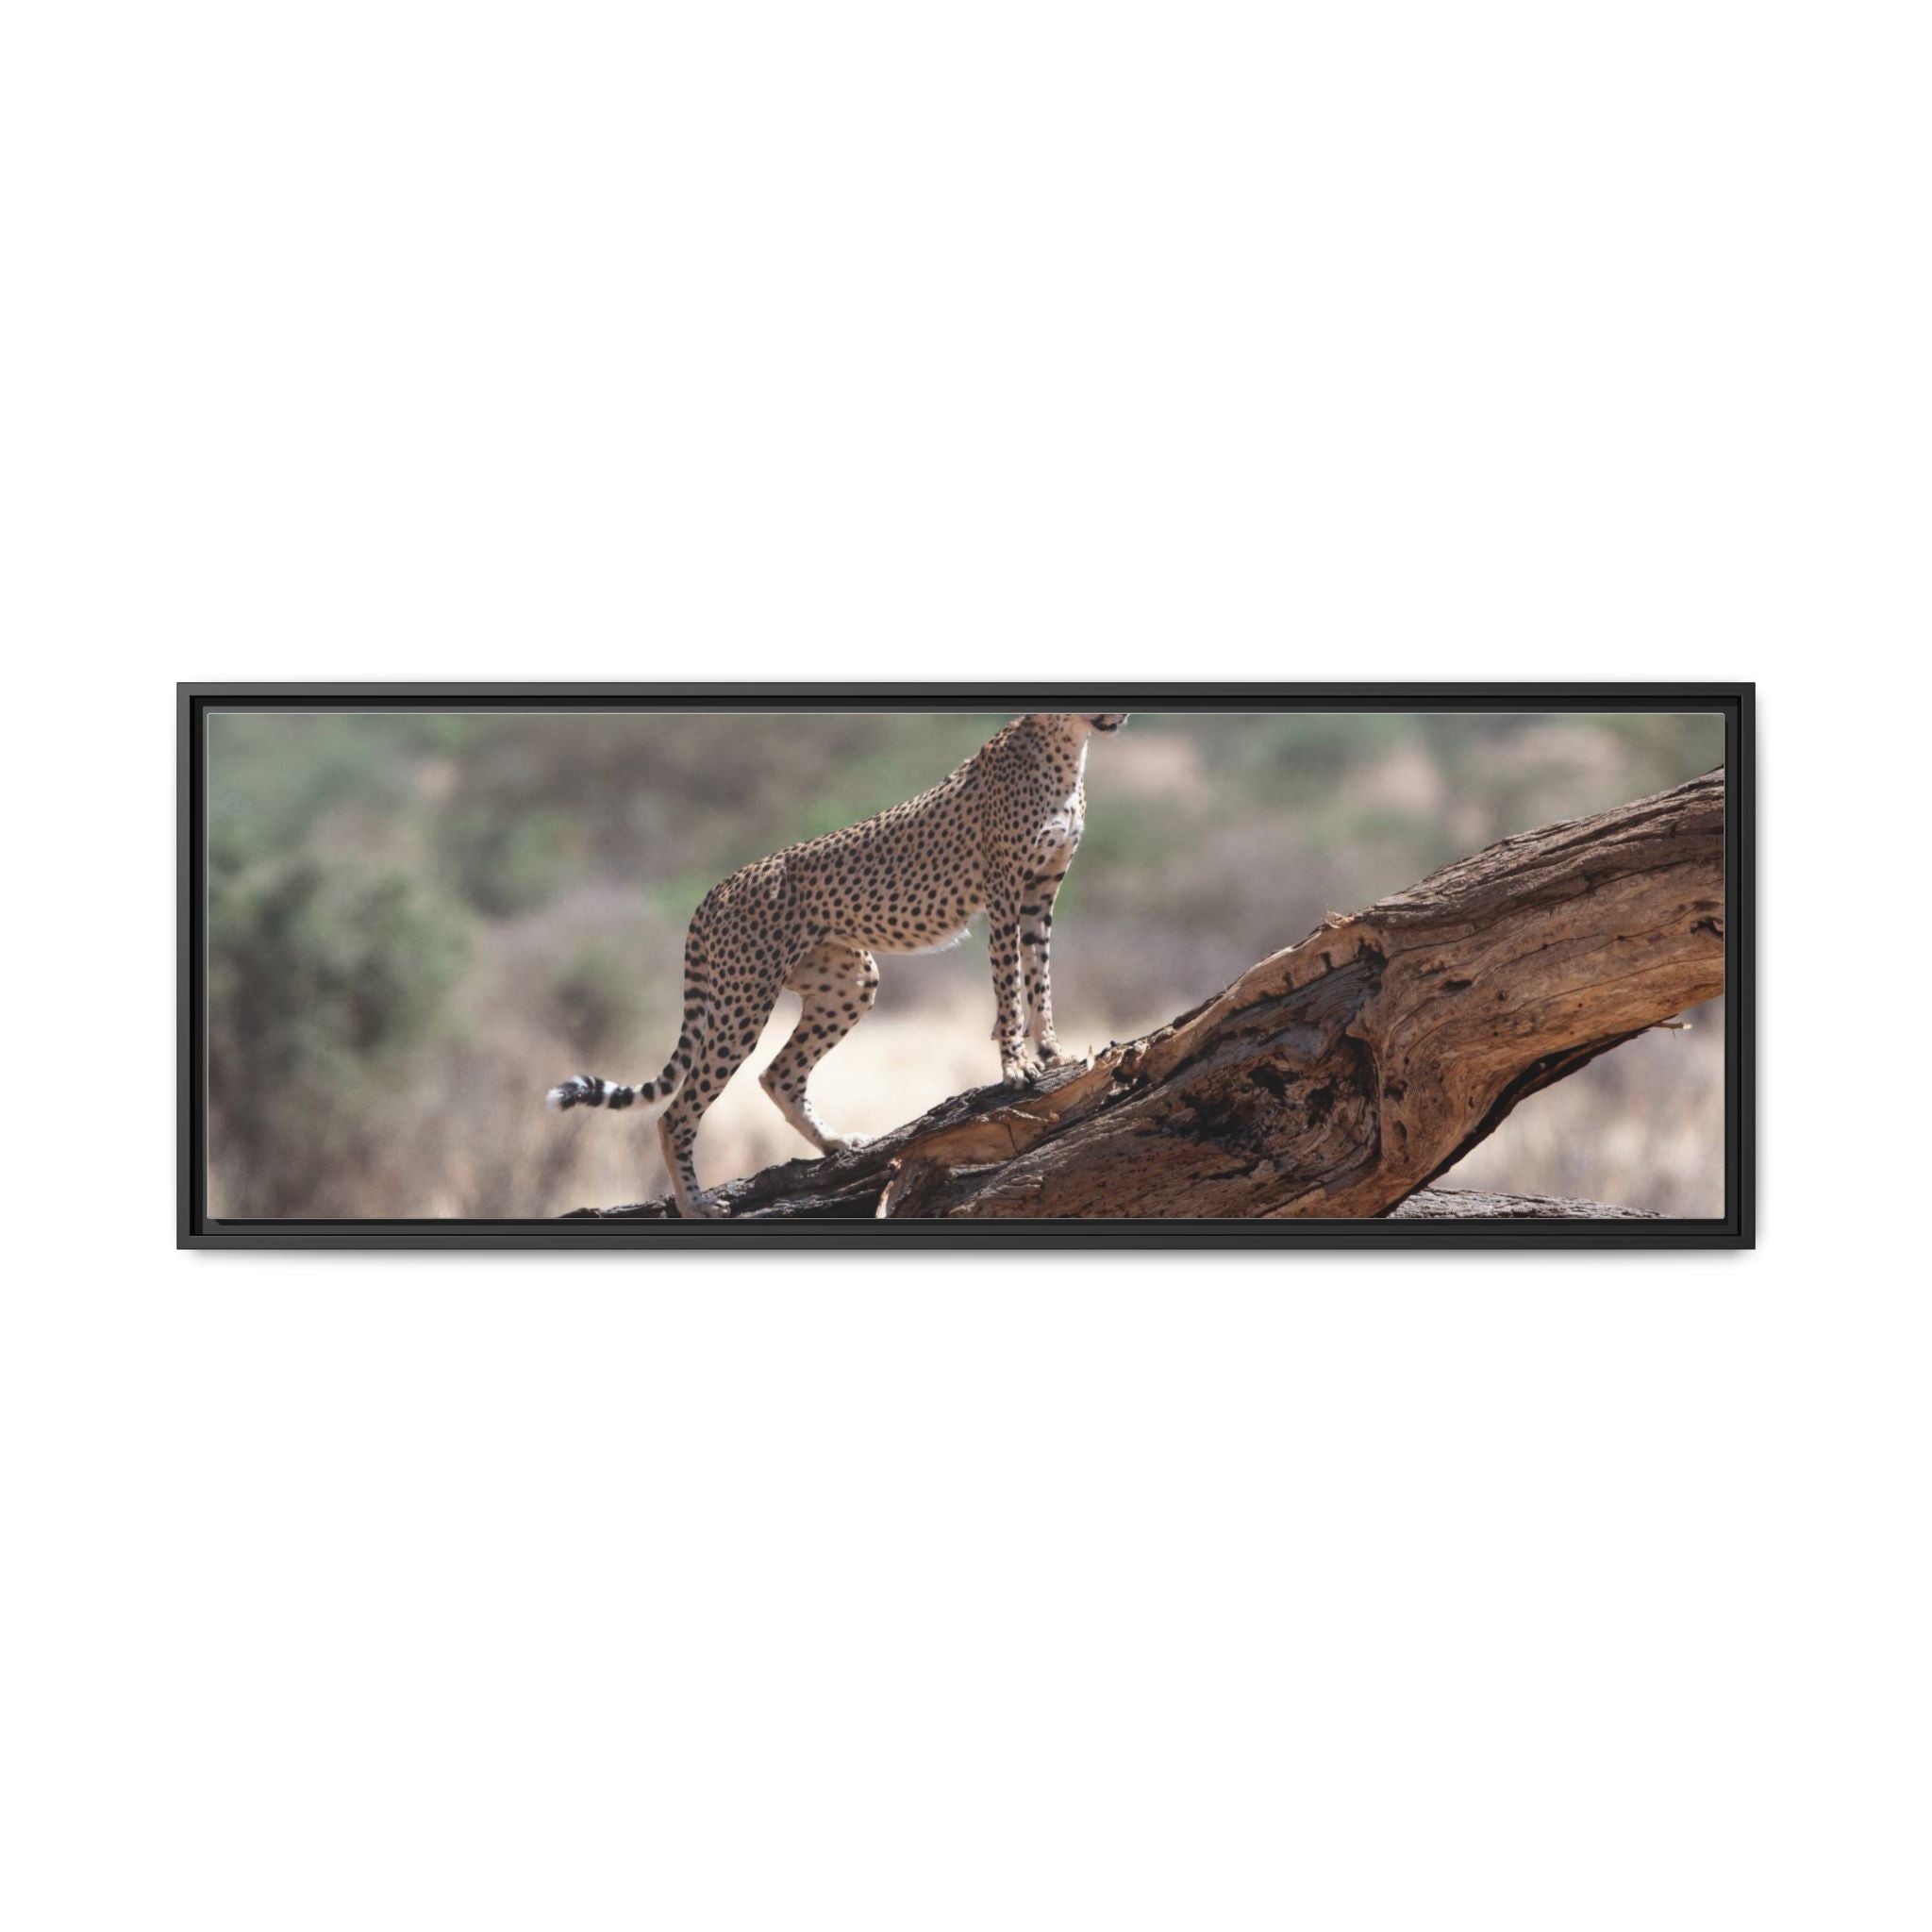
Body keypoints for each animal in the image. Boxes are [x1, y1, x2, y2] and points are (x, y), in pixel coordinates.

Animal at [546, 712, 1129, 1217]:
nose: (1117, 714)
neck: (1066, 746)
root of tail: (719, 886)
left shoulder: (1040, 892)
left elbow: (1039, 975)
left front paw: (1052, 1052)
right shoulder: (1004, 889)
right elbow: (1009, 983)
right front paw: (1016, 1066)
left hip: (849, 980)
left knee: (779, 1074)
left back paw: (833, 1143)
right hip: (743, 1001)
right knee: (676, 1112)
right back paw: (696, 1205)